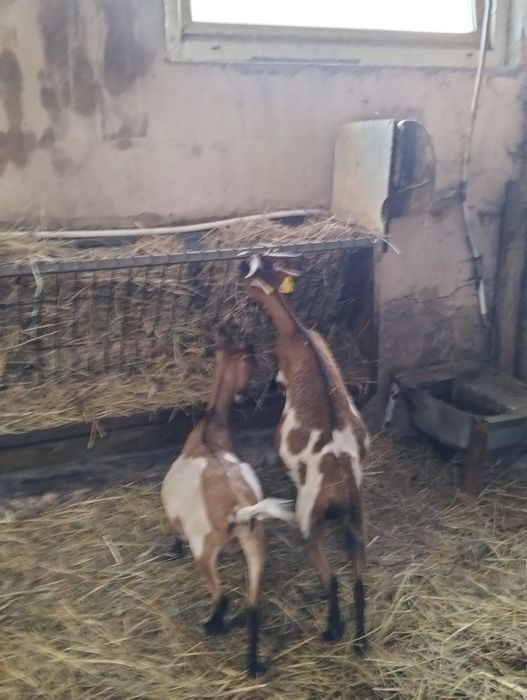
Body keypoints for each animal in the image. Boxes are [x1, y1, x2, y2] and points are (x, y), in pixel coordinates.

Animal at [161, 331, 293, 676]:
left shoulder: (173, 517)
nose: (248, 394)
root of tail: (239, 511)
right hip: (256, 548)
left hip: (205, 550)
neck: (209, 435)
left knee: (222, 598)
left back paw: (212, 626)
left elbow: (174, 533)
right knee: (253, 608)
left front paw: (172, 551)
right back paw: (253, 664)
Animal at [240, 253, 369, 652]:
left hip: (309, 519)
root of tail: (340, 485)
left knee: (332, 577)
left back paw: (333, 629)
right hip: (356, 520)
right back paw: (360, 641)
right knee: (359, 577)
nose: (239, 264)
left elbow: (274, 382)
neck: (297, 332)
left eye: (250, 276)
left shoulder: (281, 369)